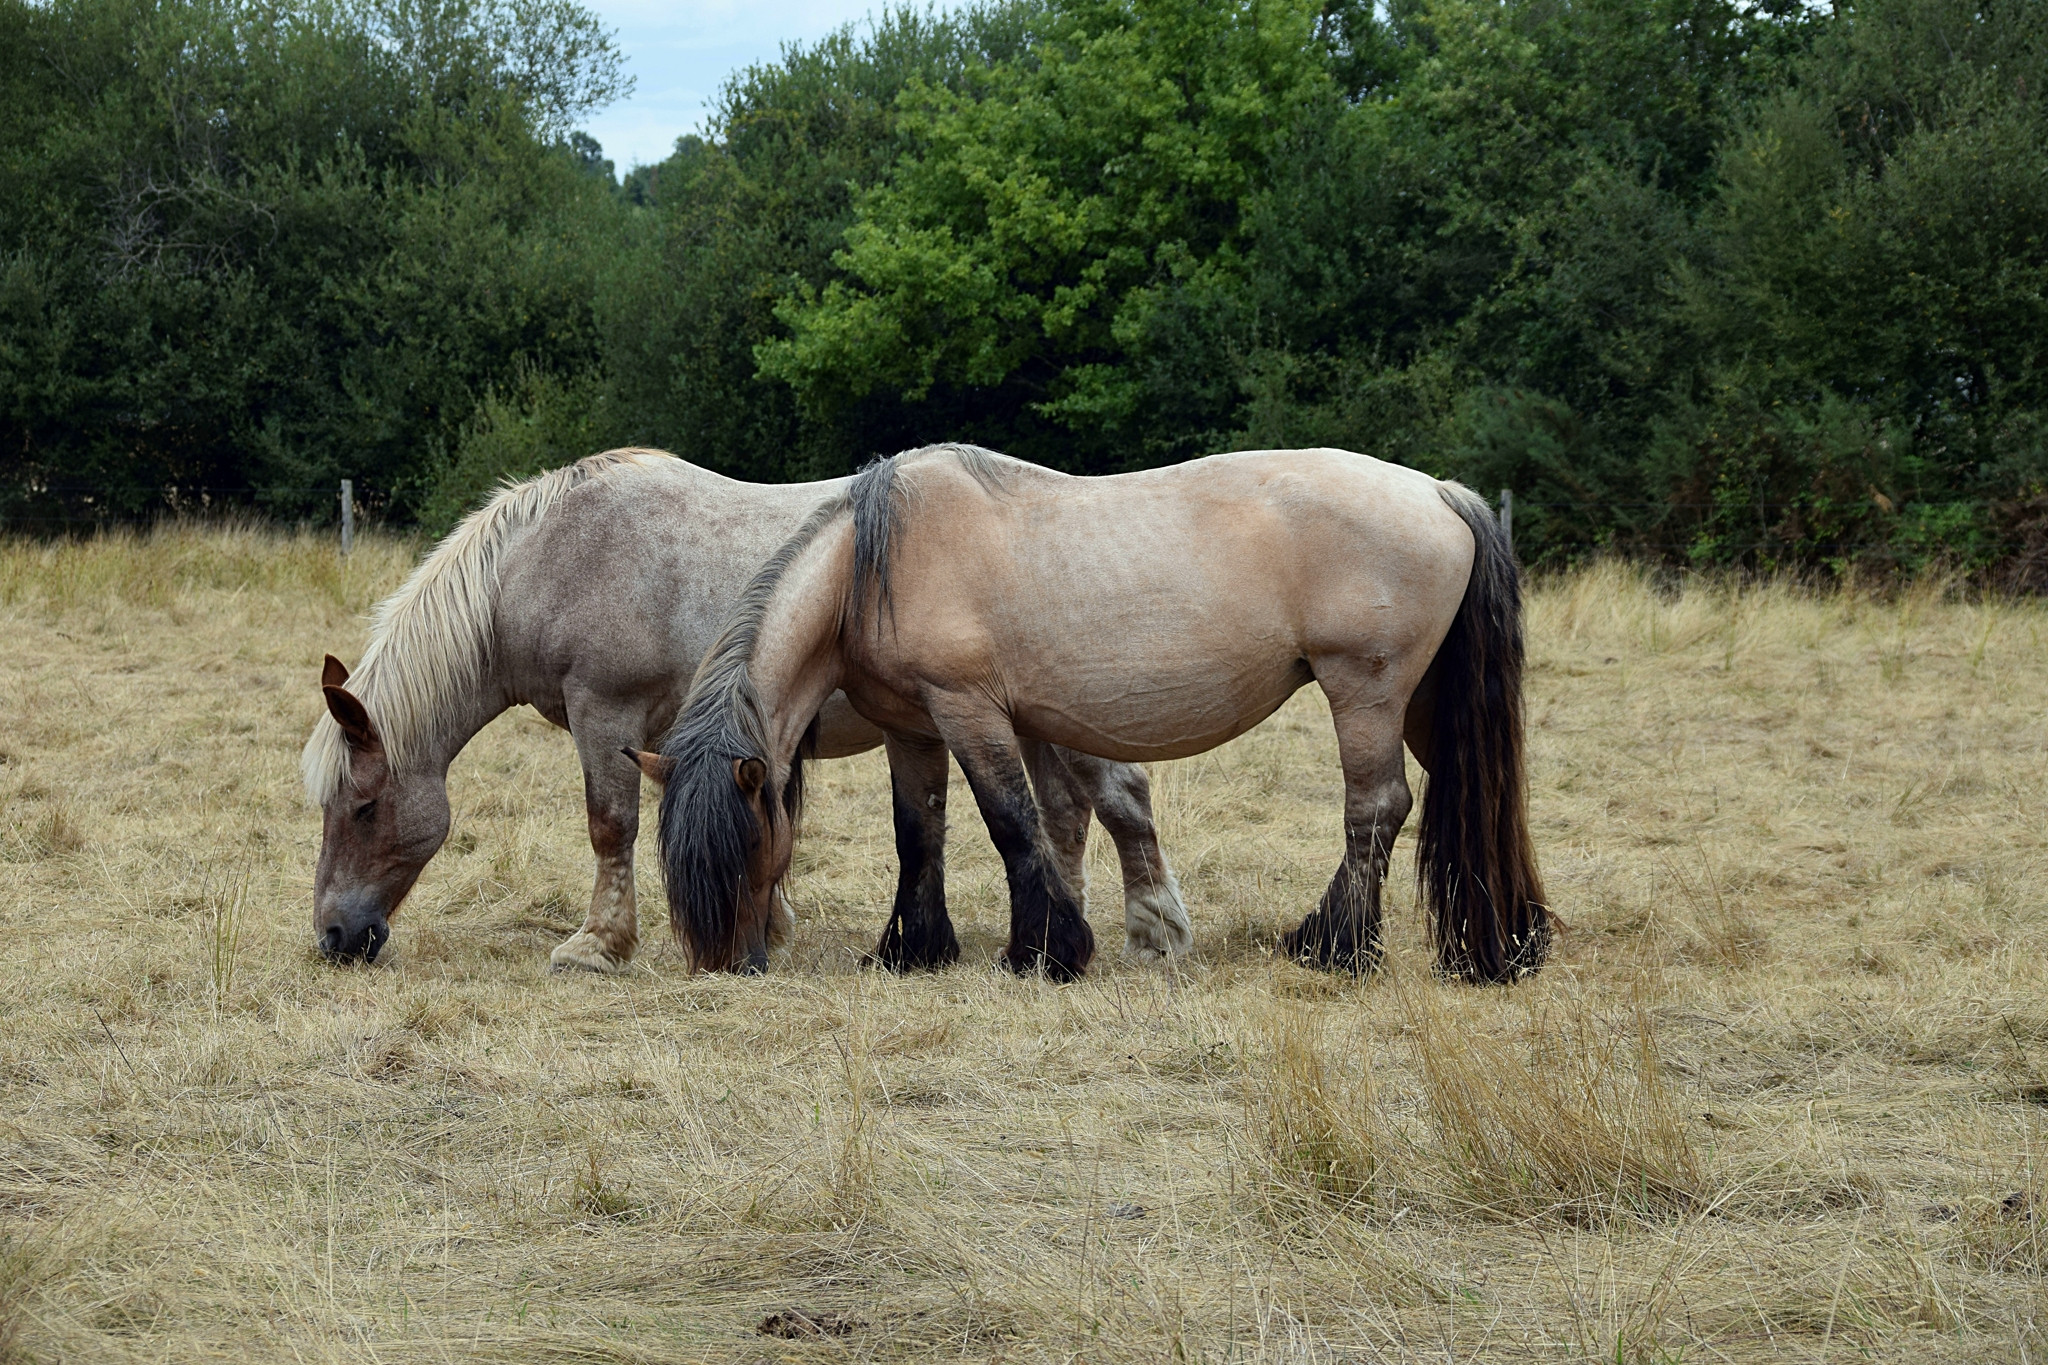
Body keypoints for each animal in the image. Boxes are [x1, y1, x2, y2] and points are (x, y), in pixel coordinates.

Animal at [299, 454, 1196, 978]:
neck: (548, 556)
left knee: (1120, 800)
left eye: (364, 806)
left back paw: (1152, 935)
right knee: (1071, 813)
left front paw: (599, 944)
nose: (335, 937)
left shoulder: (604, 713)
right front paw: (770, 918)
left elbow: (609, 827)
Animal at [647, 446, 1540, 982]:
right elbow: (922, 832)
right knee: (1473, 800)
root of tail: (1441, 491)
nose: (725, 961)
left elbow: (1011, 822)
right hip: (1426, 704)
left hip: (1366, 690)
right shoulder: (914, 726)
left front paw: (1043, 949)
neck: (873, 565)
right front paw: (915, 948)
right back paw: (1499, 944)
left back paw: (1336, 945)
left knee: (1376, 808)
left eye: (744, 844)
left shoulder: (969, 709)